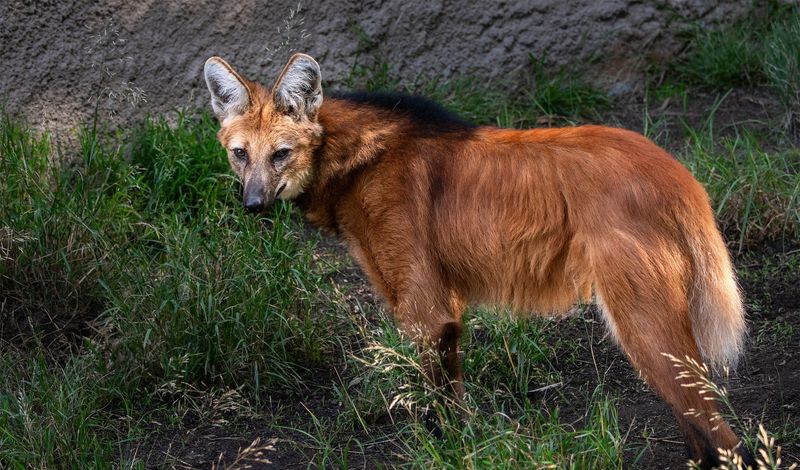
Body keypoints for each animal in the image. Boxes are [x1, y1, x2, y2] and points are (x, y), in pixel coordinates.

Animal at [203, 54, 752, 466]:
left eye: (280, 153)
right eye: (239, 154)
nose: (253, 204)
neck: (356, 161)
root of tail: (677, 172)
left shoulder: (425, 310)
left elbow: (438, 411)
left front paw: (447, 451)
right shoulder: (441, 308)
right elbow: (451, 400)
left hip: (641, 324)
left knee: (722, 434)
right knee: (699, 428)